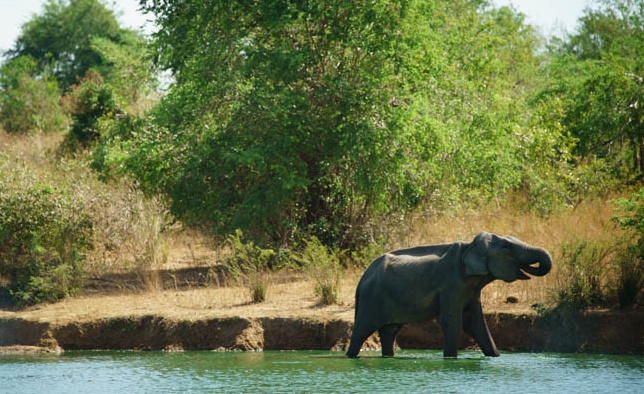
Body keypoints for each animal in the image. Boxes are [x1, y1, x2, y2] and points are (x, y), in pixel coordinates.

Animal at [348, 232, 552, 358]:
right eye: (506, 246)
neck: (469, 246)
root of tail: (362, 278)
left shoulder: (470, 290)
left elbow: (477, 325)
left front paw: (495, 357)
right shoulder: (451, 284)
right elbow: (452, 323)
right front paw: (451, 359)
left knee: (389, 332)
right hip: (371, 298)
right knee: (361, 331)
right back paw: (351, 357)